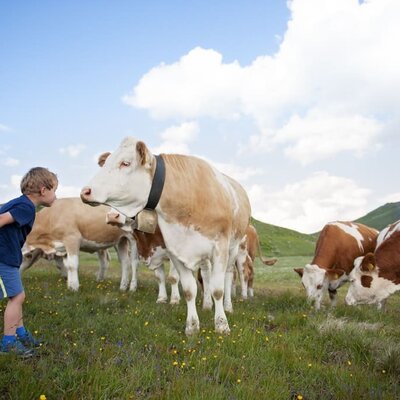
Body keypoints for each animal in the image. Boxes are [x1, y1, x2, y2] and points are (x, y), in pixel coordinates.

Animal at [81, 137, 250, 334]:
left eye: (125, 163)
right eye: (106, 162)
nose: (85, 192)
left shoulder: (219, 248)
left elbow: (217, 289)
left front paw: (222, 325)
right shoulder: (175, 249)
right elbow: (187, 289)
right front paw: (192, 326)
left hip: (233, 248)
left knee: (228, 277)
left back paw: (228, 307)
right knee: (206, 275)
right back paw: (207, 305)